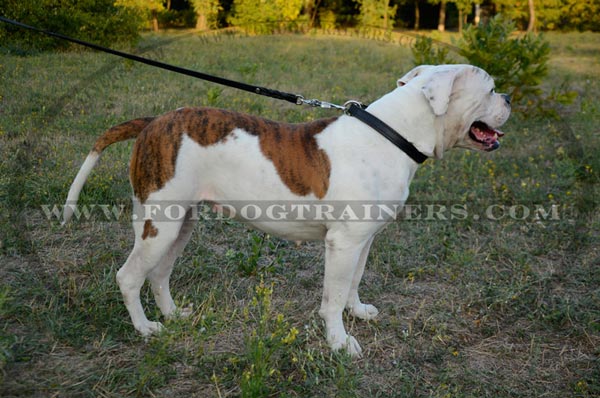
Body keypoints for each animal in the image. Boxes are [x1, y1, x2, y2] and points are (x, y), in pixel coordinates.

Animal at [62, 63, 510, 356]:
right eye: (490, 89)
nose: (508, 98)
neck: (392, 133)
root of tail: (154, 122)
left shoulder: (362, 240)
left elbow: (353, 281)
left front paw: (358, 311)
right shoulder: (343, 243)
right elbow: (332, 296)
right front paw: (339, 342)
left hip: (178, 223)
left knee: (158, 275)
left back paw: (176, 316)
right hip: (160, 224)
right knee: (128, 276)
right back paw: (145, 328)